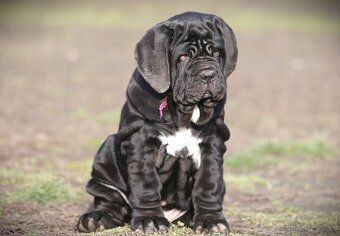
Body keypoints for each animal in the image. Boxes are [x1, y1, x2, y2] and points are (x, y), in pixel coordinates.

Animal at [76, 10, 236, 234]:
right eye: (183, 57)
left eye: (215, 52)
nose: (208, 74)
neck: (182, 112)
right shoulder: (141, 142)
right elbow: (146, 184)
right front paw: (149, 219)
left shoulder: (212, 142)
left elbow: (208, 183)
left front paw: (211, 221)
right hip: (106, 154)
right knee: (110, 201)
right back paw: (95, 219)